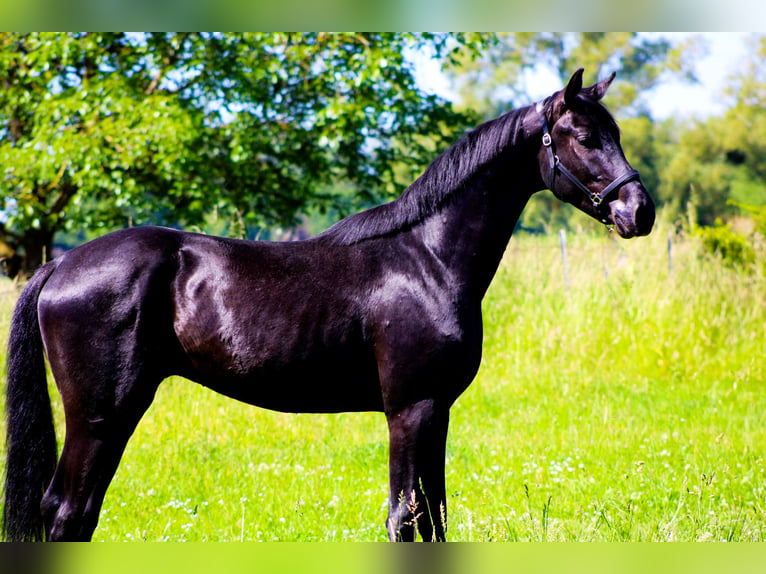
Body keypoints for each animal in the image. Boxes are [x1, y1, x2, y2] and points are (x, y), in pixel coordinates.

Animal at [2, 69, 654, 542]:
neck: (428, 259)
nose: (639, 212)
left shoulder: (437, 410)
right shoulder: (410, 409)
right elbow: (405, 516)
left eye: (618, 135)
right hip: (100, 414)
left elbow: (435, 515)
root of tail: (61, 264)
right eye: (585, 138)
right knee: (68, 510)